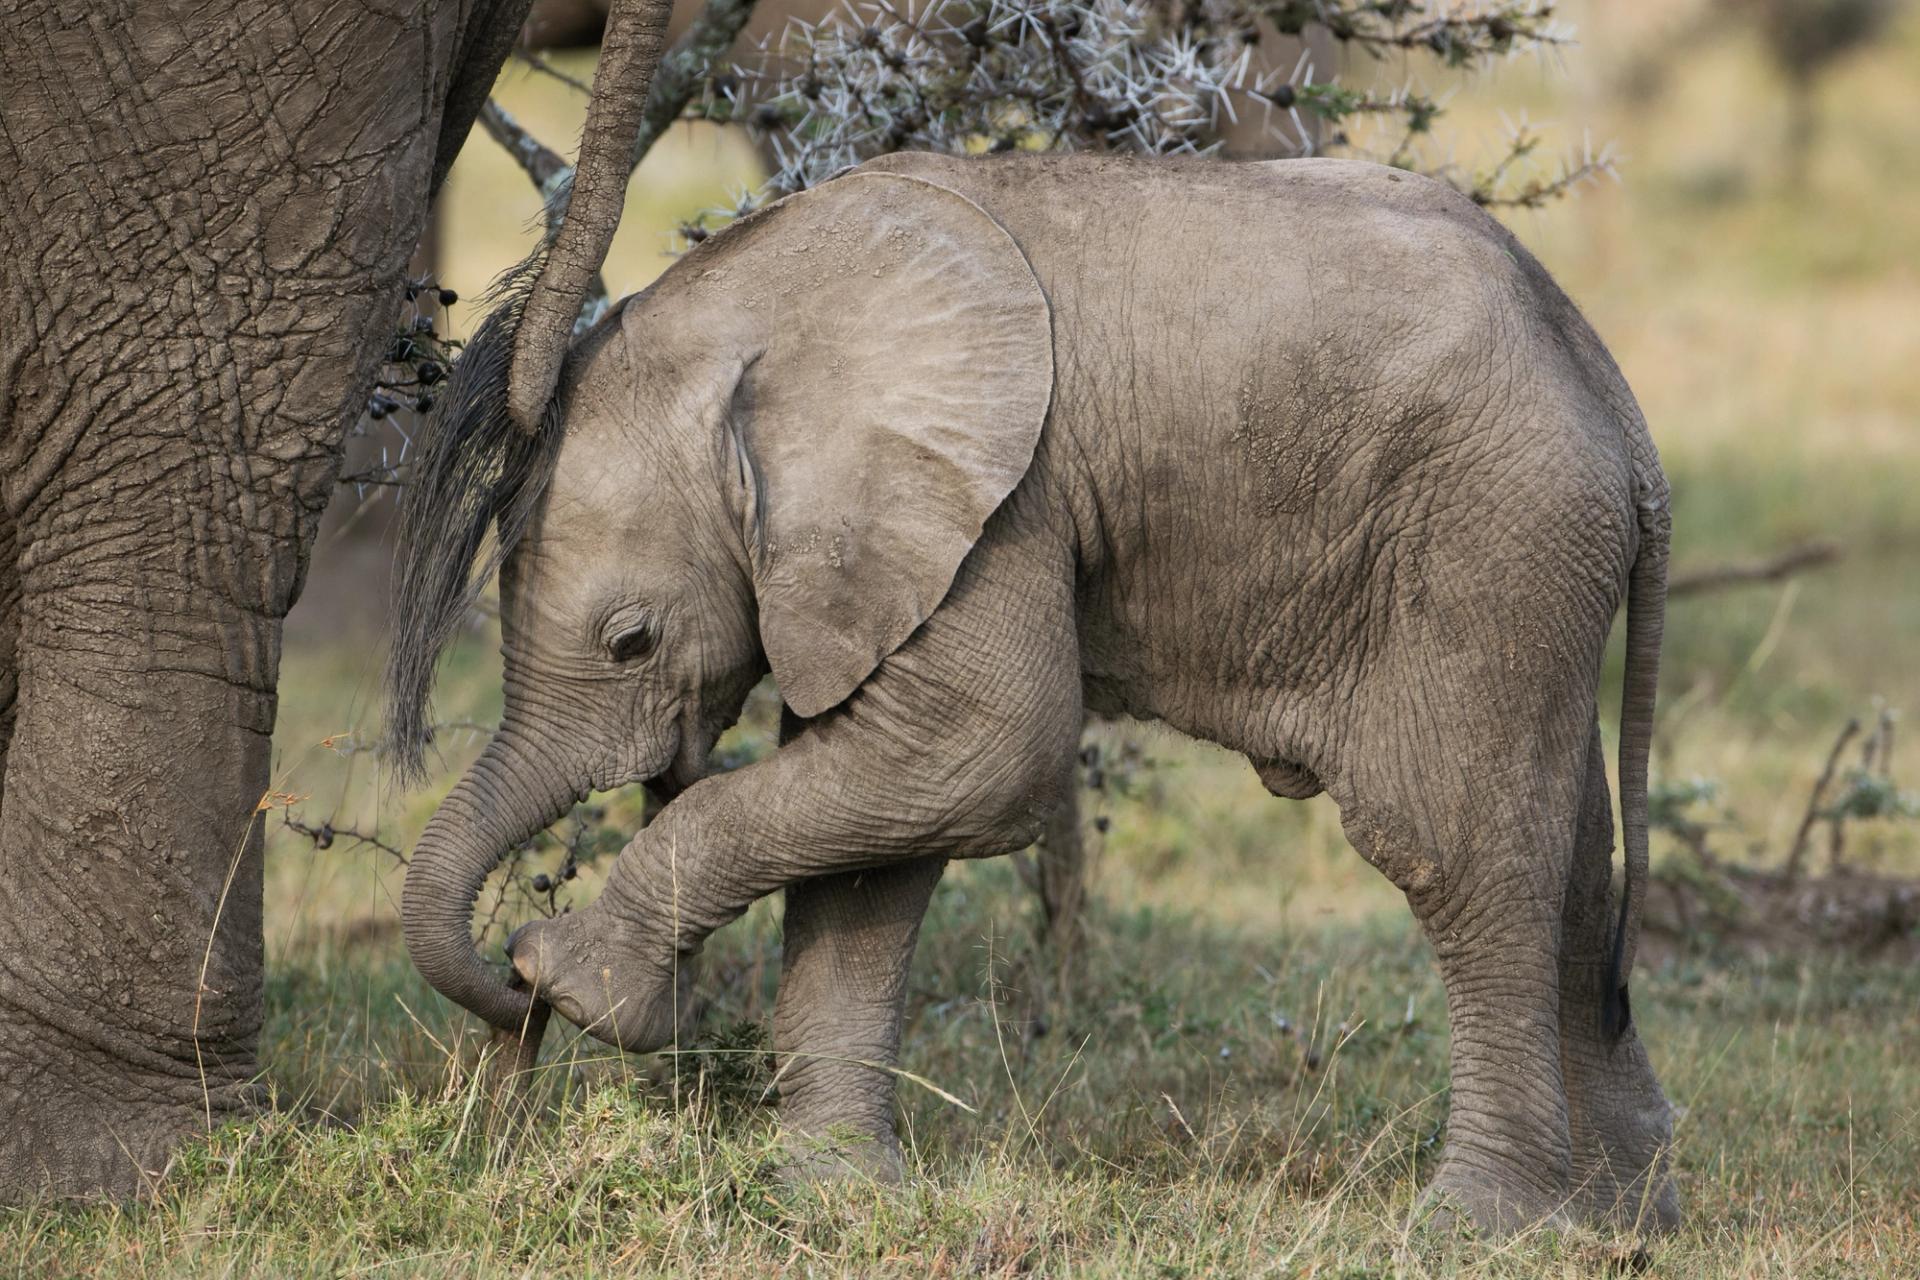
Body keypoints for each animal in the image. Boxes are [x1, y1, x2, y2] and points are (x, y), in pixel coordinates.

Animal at [388, 150, 1680, 1235]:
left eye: (630, 638)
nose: (511, 1009)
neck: (765, 309)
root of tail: (1617, 401)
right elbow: (877, 841)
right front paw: (836, 1197)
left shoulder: (1007, 501)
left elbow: (982, 759)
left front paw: (584, 983)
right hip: (1531, 561)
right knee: (1578, 872)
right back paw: (1618, 1219)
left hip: (1488, 543)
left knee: (1460, 855)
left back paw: (1476, 1225)